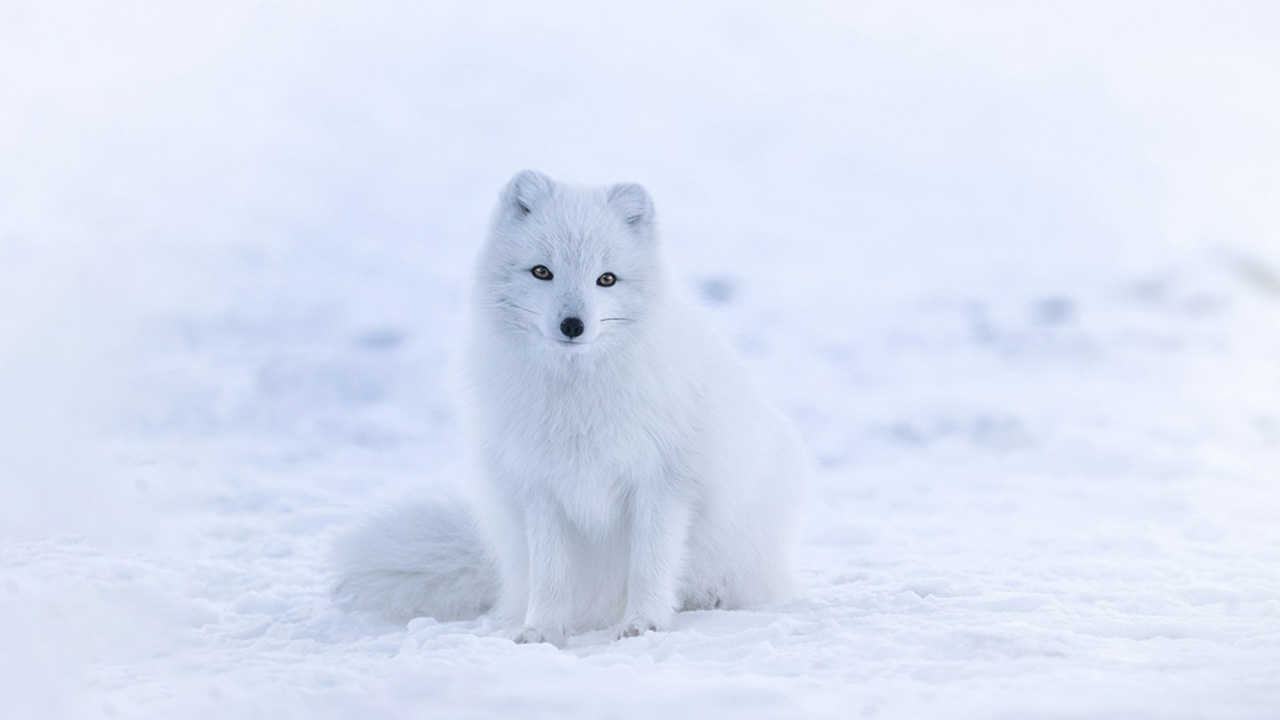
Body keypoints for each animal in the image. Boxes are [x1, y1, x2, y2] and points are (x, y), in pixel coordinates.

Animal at [335, 170, 803, 640]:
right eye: (542, 271)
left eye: (607, 279)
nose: (572, 325)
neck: (577, 396)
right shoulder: (541, 488)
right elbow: (550, 574)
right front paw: (542, 630)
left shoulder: (663, 484)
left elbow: (649, 566)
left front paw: (643, 622)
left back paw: (705, 597)